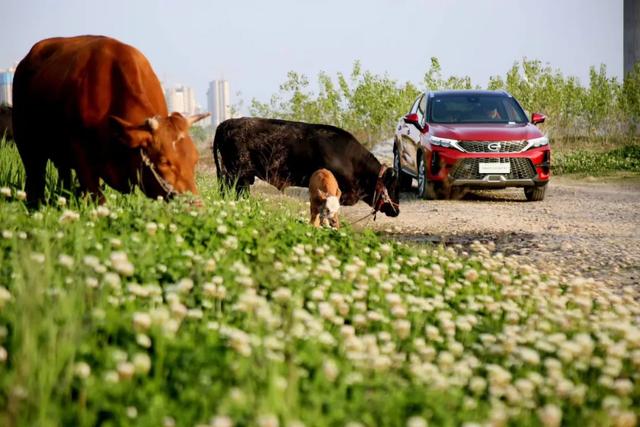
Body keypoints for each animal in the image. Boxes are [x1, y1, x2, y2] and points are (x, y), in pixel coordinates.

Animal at [11, 35, 208, 206]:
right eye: (164, 162)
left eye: (195, 159)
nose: (196, 205)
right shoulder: (82, 159)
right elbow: (98, 199)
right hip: (26, 145)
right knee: (35, 179)